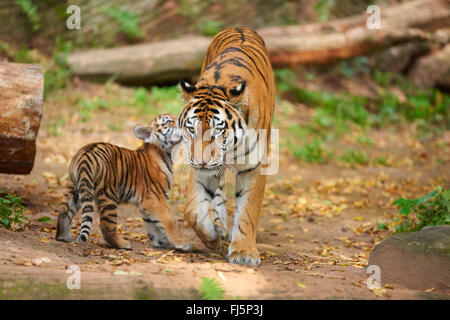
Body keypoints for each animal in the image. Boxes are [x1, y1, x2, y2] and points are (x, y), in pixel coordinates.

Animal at [178, 27, 276, 266]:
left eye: (217, 131)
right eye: (191, 129)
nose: (201, 161)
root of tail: (240, 28)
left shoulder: (254, 166)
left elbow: (248, 211)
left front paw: (244, 253)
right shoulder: (201, 170)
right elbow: (193, 210)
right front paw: (213, 236)